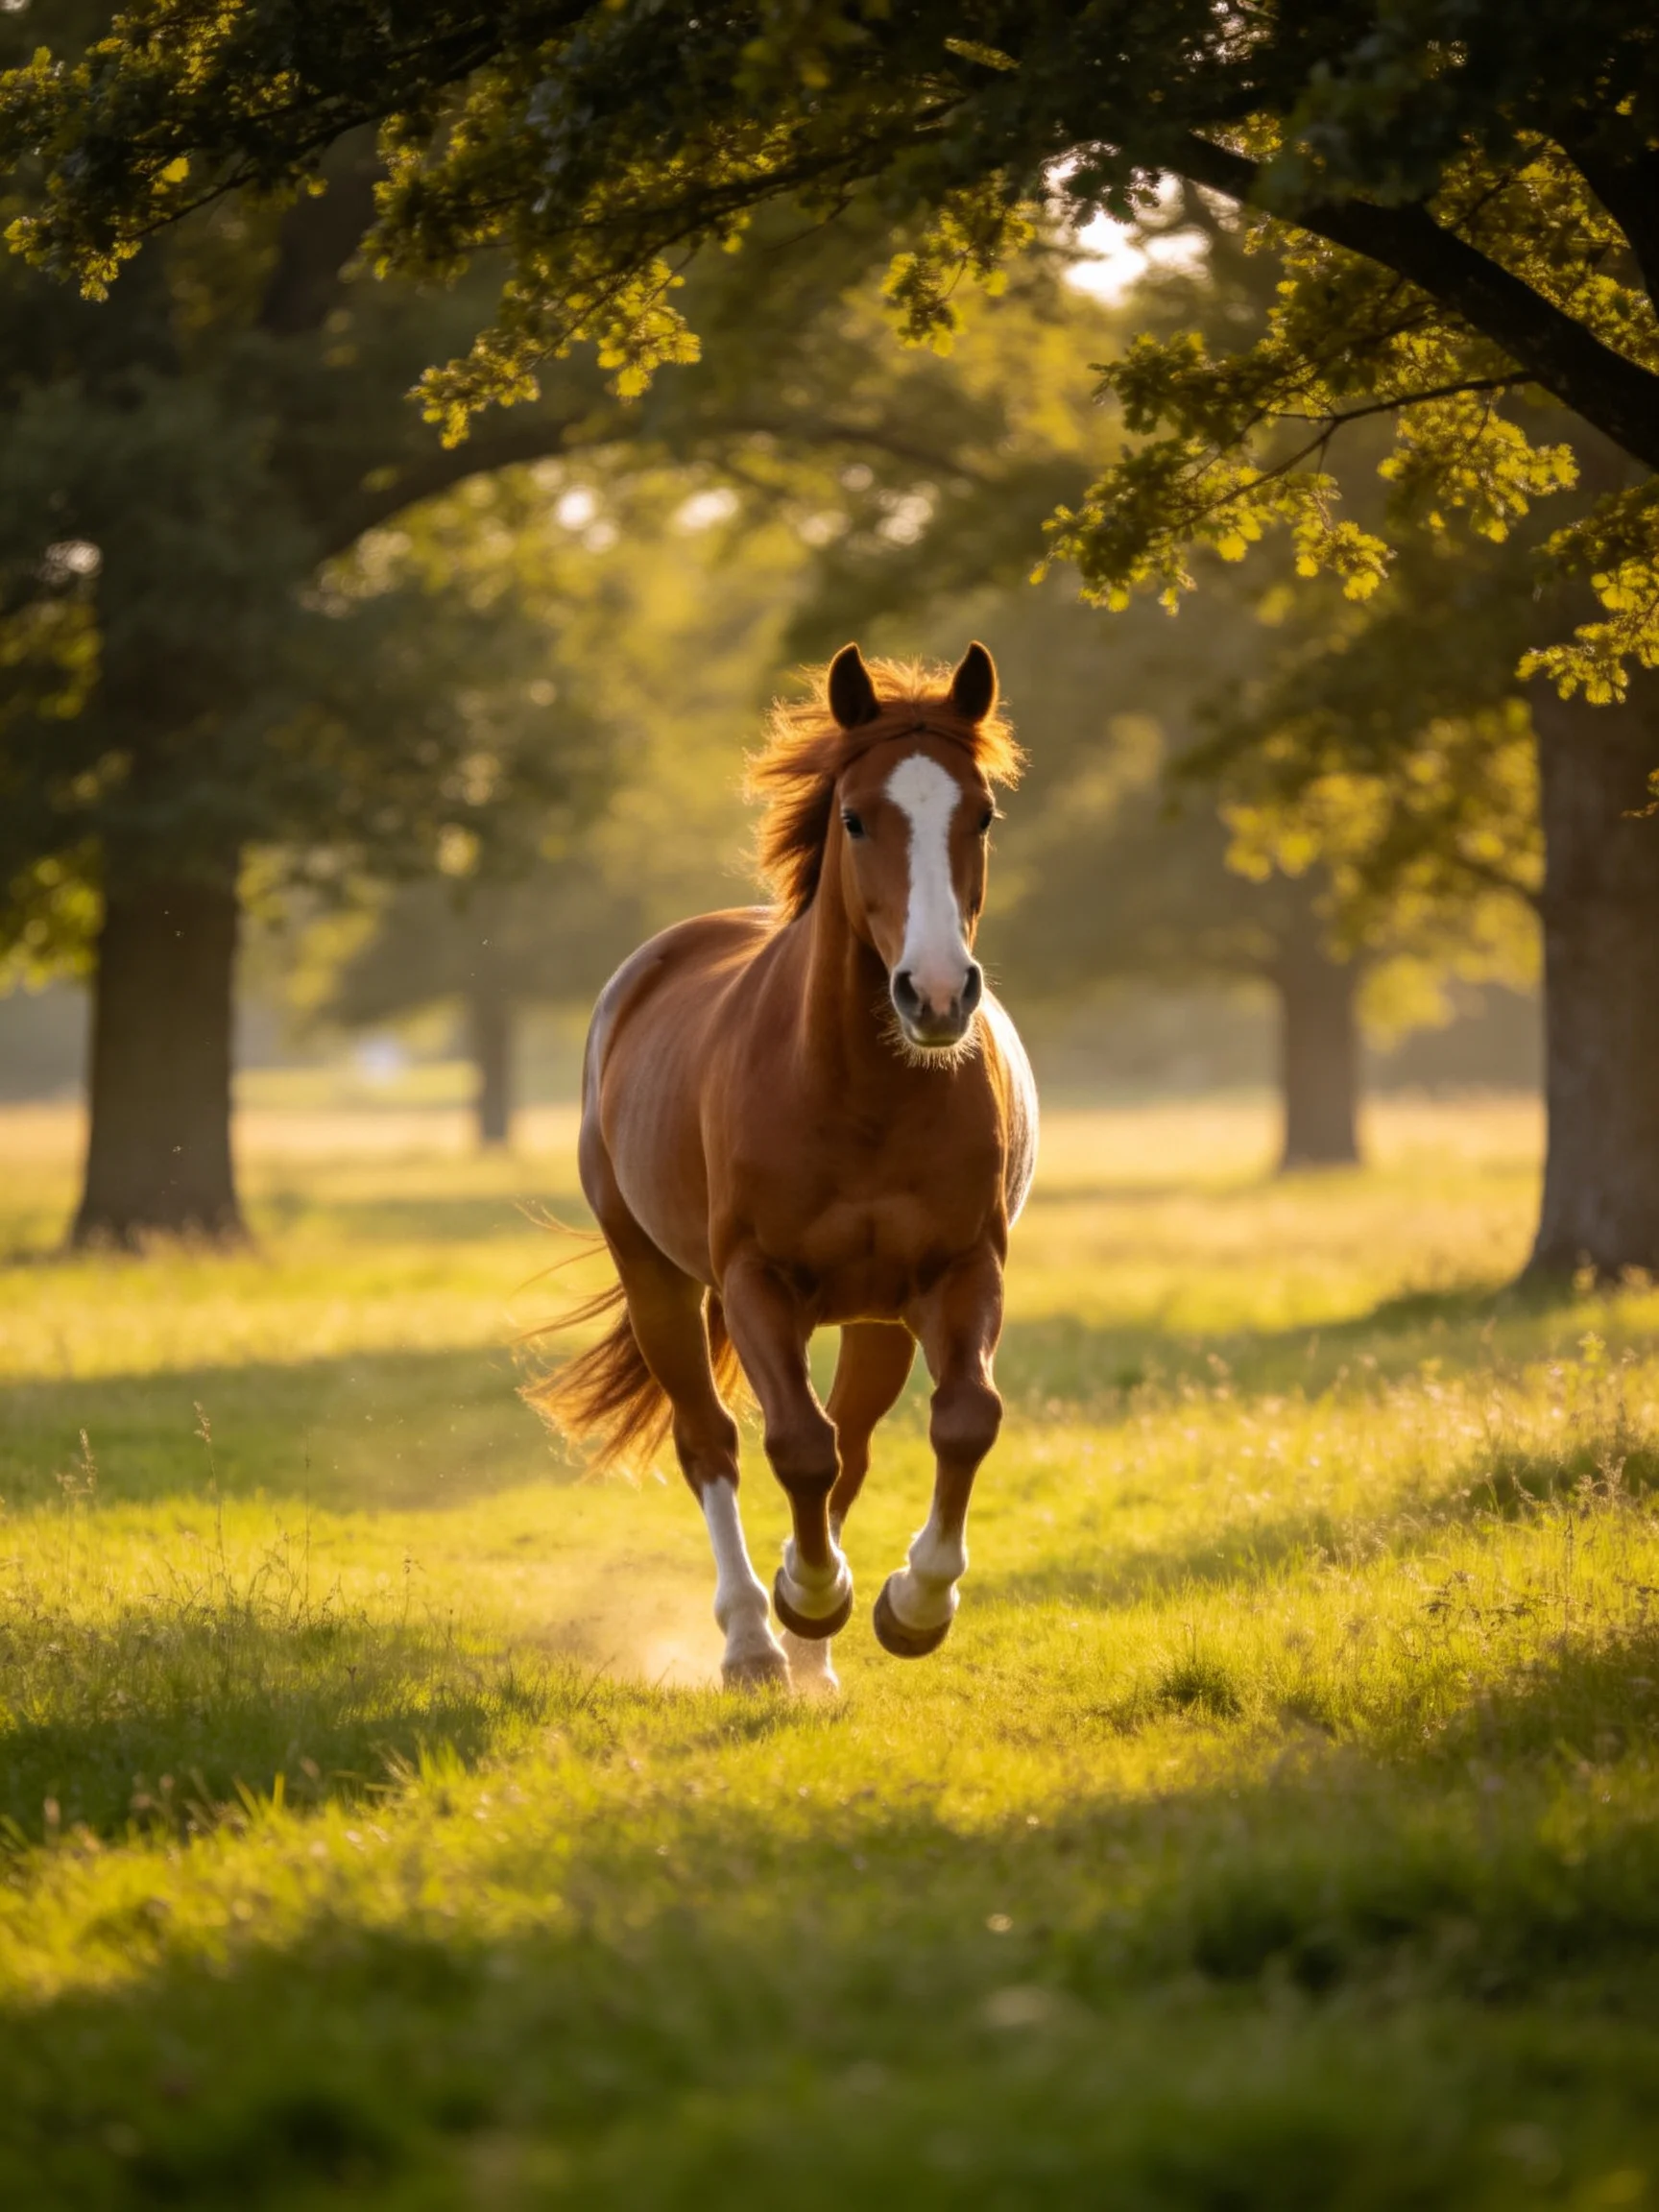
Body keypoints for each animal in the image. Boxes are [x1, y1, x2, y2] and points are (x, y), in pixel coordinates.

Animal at [530, 642, 1037, 1690]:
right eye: (855, 817)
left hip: (879, 1317)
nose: (936, 994)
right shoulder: (758, 1281)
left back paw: (811, 1658)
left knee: (858, 1441)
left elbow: (962, 1420)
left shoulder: (961, 1272)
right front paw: (808, 1594)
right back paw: (755, 1642)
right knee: (711, 1442)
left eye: (981, 815)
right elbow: (797, 1445)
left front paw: (911, 1605)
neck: (859, 1093)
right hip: (658, 1280)